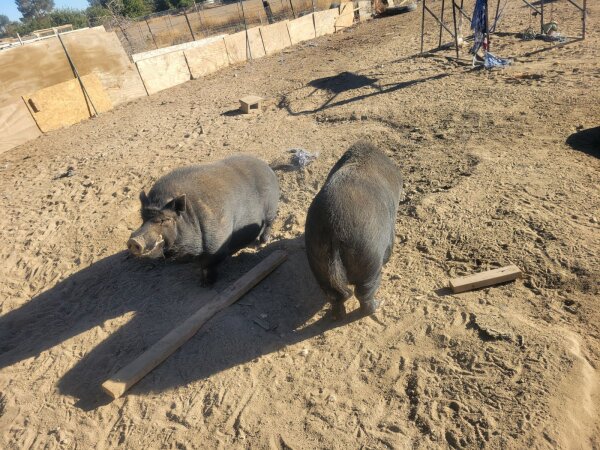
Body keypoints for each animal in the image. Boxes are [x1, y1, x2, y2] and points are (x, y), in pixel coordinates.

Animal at [127, 155, 279, 284]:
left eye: (165, 219)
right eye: (143, 217)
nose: (134, 240)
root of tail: (267, 167)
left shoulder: (216, 242)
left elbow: (208, 264)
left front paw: (206, 284)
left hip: (271, 208)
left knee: (269, 223)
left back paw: (262, 242)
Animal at [304, 141, 403, 319]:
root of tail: (334, 230)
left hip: (318, 258)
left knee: (335, 296)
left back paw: (337, 316)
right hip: (369, 261)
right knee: (363, 294)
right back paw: (378, 305)